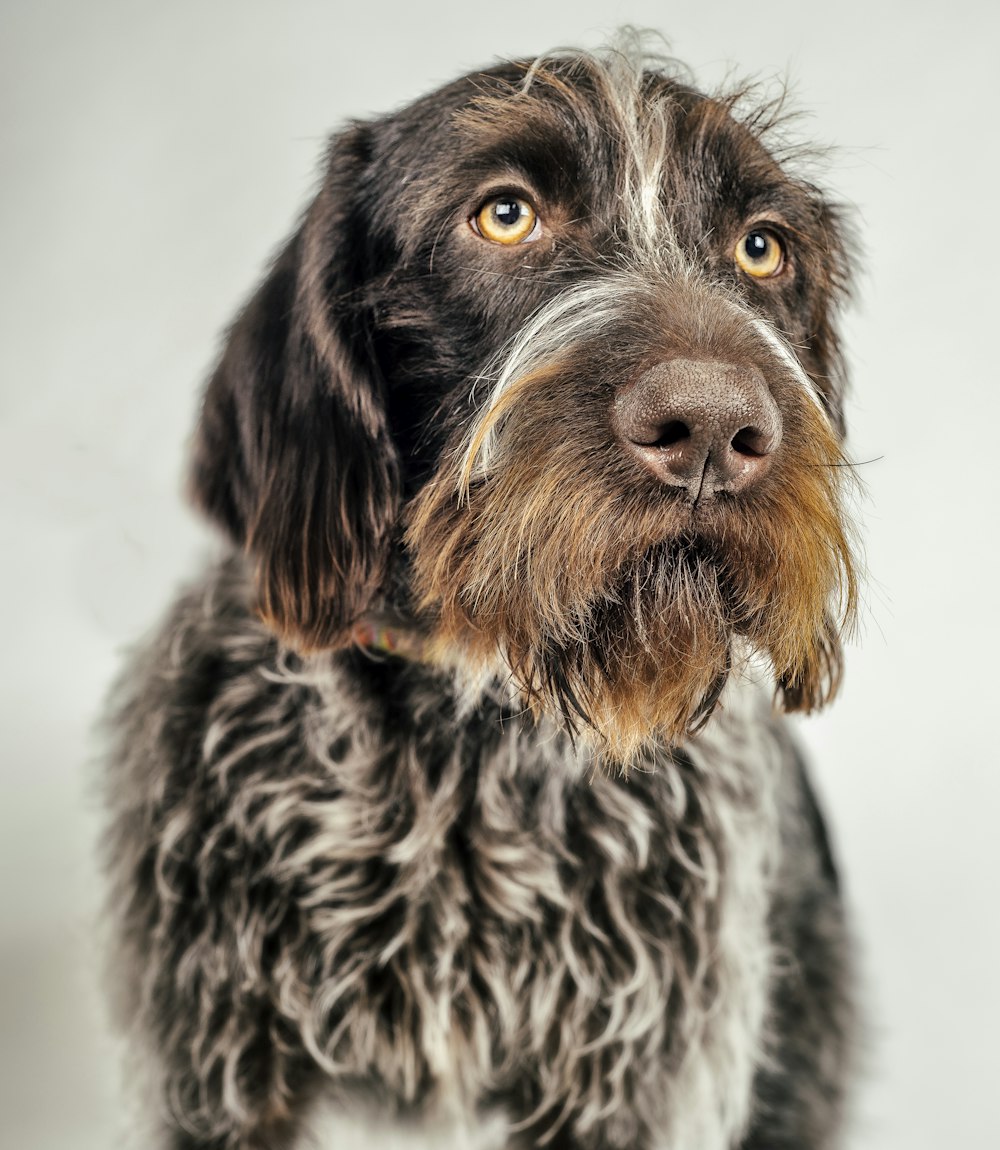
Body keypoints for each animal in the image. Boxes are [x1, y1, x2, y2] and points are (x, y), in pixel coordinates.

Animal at [107, 38, 859, 1150]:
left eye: (762, 247)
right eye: (504, 215)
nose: (714, 429)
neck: (463, 740)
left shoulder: (631, 1079)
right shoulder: (221, 1068)